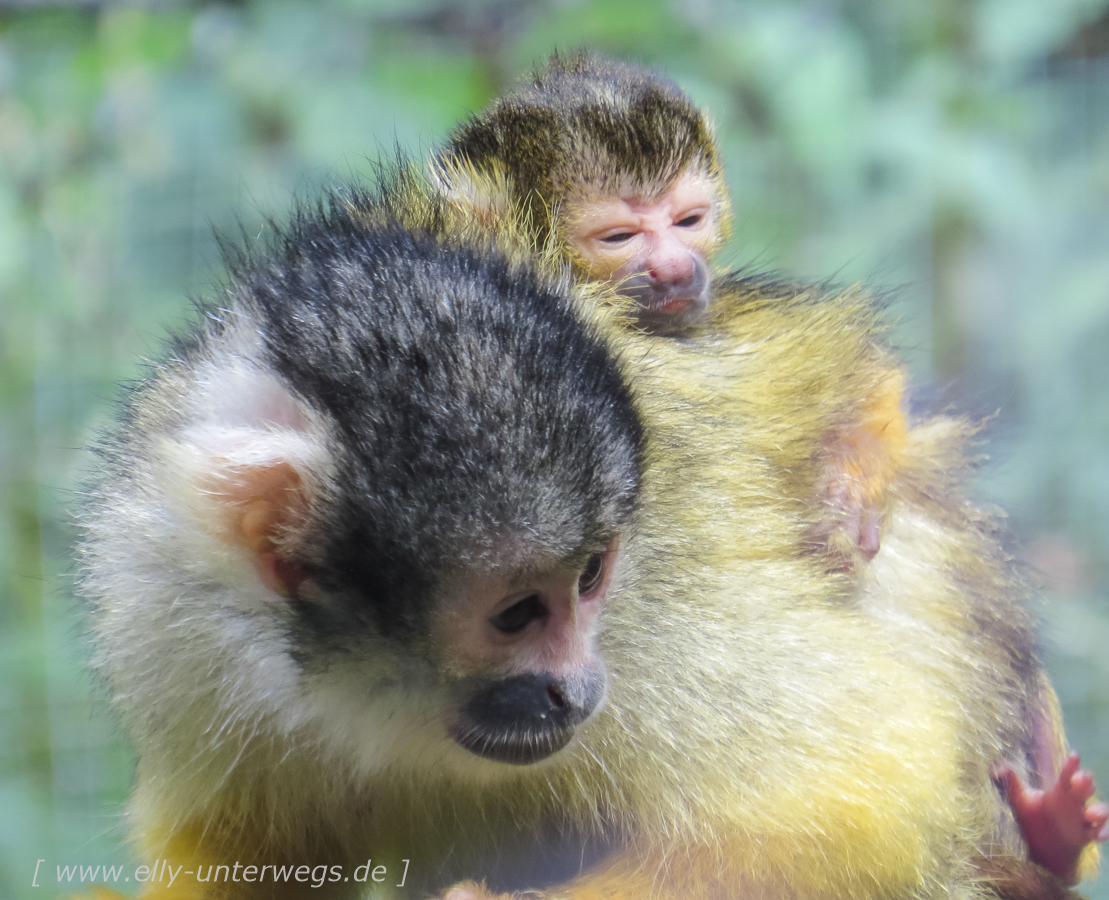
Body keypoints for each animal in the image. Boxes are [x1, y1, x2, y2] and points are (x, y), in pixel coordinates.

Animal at [432, 50, 1109, 886]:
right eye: (620, 234)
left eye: (688, 220)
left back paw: (1052, 842)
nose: (675, 267)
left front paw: (848, 495)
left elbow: (863, 379)